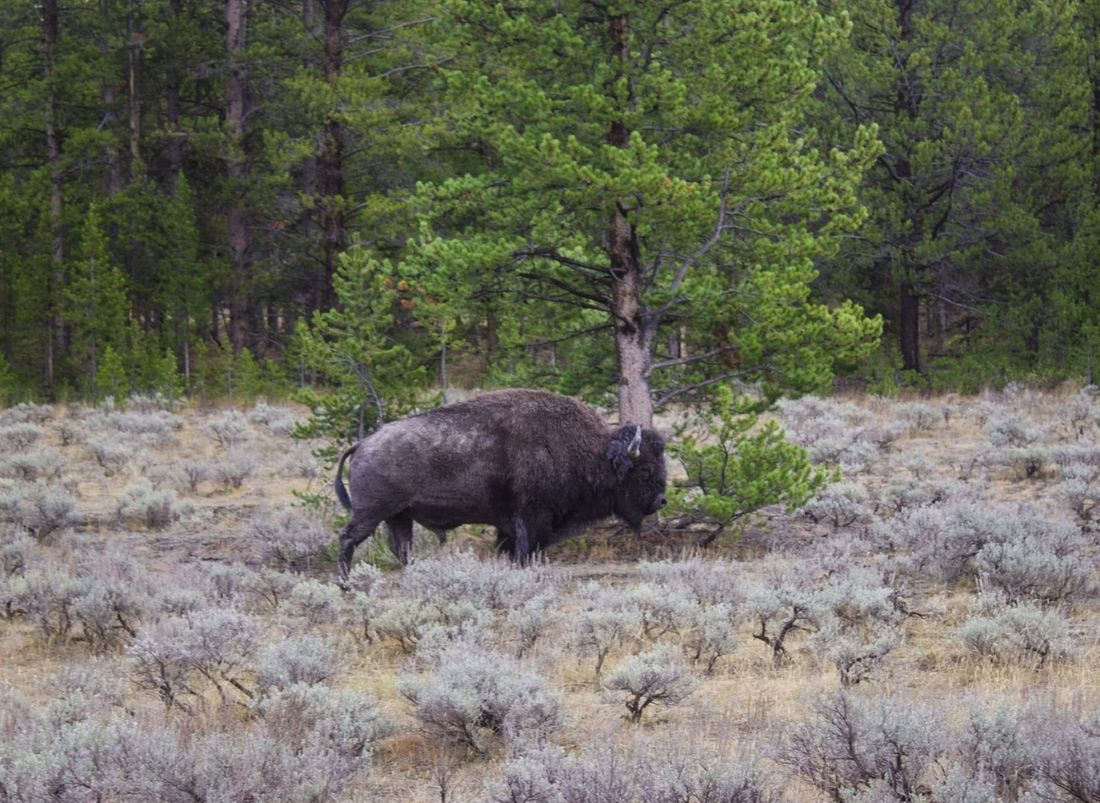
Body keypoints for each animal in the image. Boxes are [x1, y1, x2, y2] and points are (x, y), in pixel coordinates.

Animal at [334, 389, 667, 578]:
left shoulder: (511, 525)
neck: (591, 451)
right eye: (645, 469)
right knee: (348, 537)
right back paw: (345, 583)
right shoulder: (531, 518)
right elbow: (526, 551)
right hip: (371, 513)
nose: (661, 500)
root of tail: (363, 444)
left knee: (400, 547)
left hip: (398, 516)